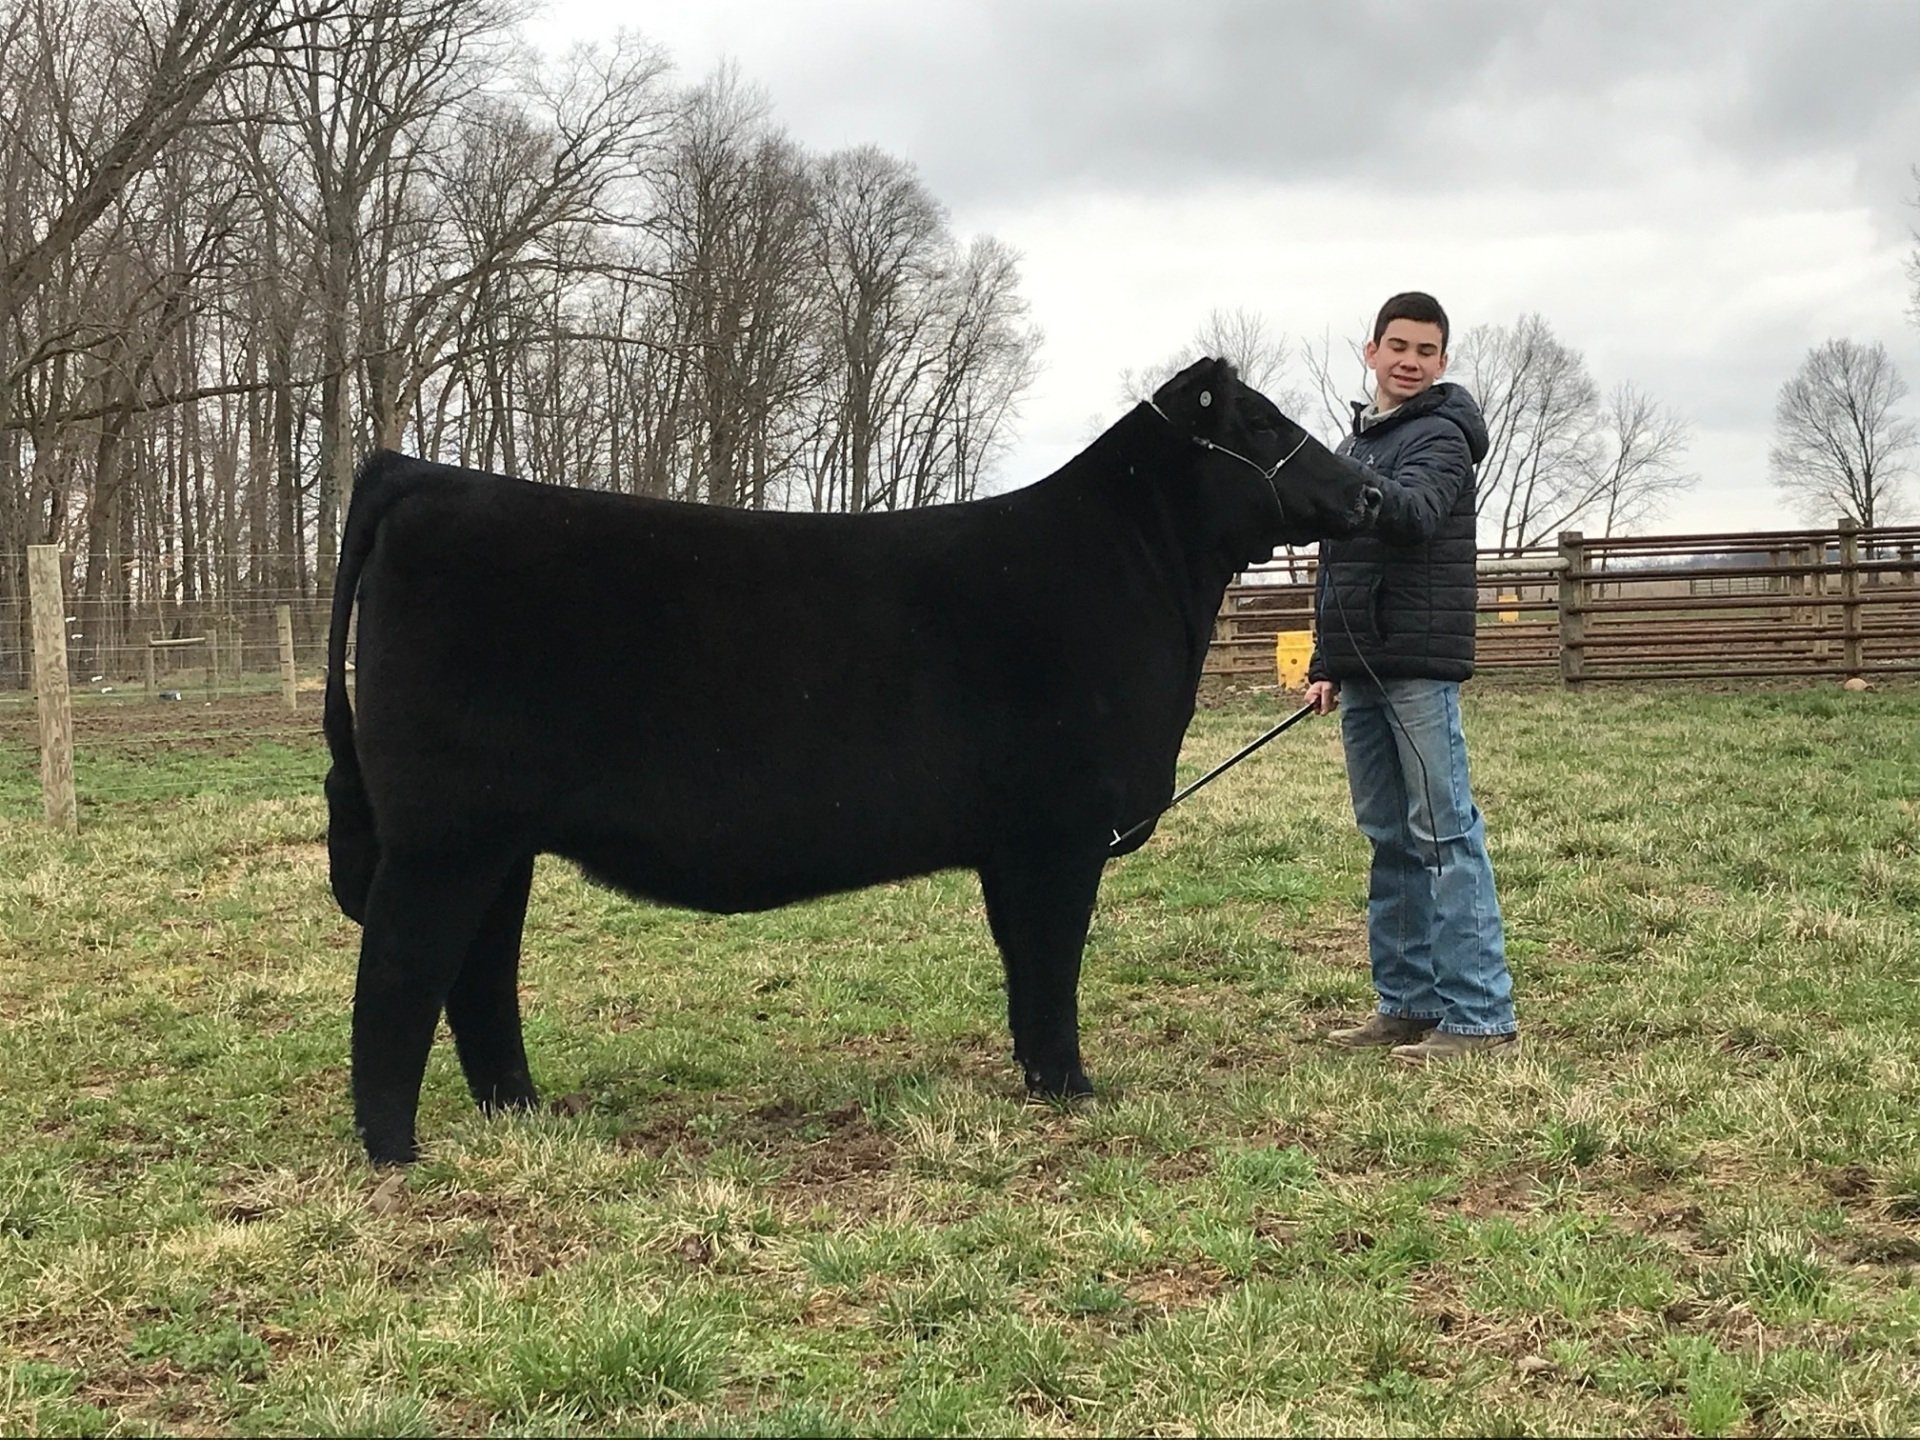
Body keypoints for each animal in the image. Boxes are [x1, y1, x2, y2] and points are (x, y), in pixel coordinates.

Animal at [324, 357, 1380, 1164]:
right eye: (1260, 420)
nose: (1367, 492)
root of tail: (416, 474)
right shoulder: (1060, 832)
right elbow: (1051, 963)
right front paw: (1073, 1086)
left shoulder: (1016, 845)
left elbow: (1024, 966)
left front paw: (1041, 1080)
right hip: (445, 835)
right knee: (401, 971)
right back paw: (394, 1149)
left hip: (500, 841)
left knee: (479, 971)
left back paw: (522, 1109)